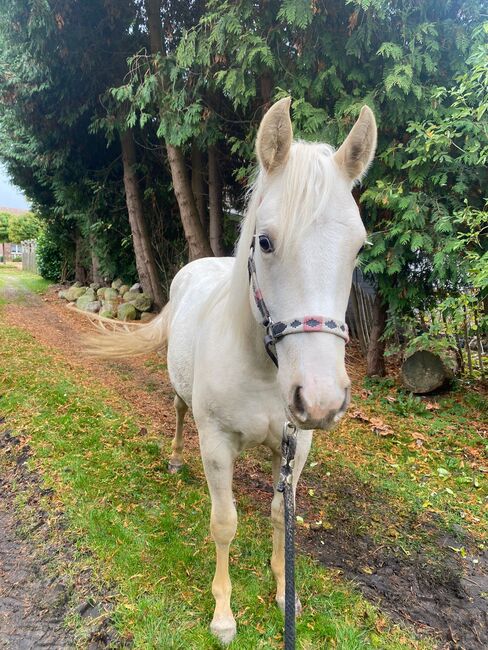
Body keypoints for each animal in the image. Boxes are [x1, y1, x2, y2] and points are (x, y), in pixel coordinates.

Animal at [90, 98, 378, 644]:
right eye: (264, 242)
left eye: (359, 247)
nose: (322, 400)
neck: (264, 371)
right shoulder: (218, 443)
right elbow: (224, 523)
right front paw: (223, 614)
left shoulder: (295, 447)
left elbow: (279, 516)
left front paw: (285, 592)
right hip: (183, 399)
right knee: (178, 413)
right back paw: (175, 458)